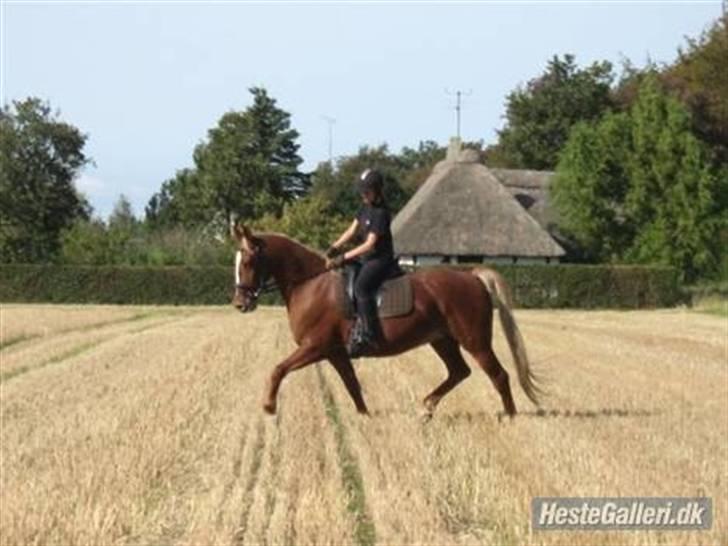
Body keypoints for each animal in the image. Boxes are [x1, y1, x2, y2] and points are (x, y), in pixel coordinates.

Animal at [233, 222, 540, 416]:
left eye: (248, 262)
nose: (240, 303)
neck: (310, 284)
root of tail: (471, 276)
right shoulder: (335, 352)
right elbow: (352, 384)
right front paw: (364, 416)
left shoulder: (315, 347)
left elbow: (278, 369)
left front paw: (269, 407)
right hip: (442, 340)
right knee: (459, 372)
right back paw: (427, 407)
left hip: (474, 340)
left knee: (498, 375)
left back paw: (510, 417)